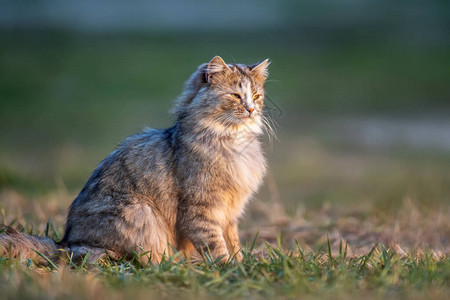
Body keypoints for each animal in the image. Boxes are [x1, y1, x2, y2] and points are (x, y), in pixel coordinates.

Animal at [0, 55, 270, 264]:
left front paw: (241, 263)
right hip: (140, 212)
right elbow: (215, 245)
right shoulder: (201, 207)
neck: (234, 143)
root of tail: (65, 241)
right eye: (236, 96)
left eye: (256, 96)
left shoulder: (230, 212)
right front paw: (228, 268)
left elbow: (233, 241)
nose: (251, 110)